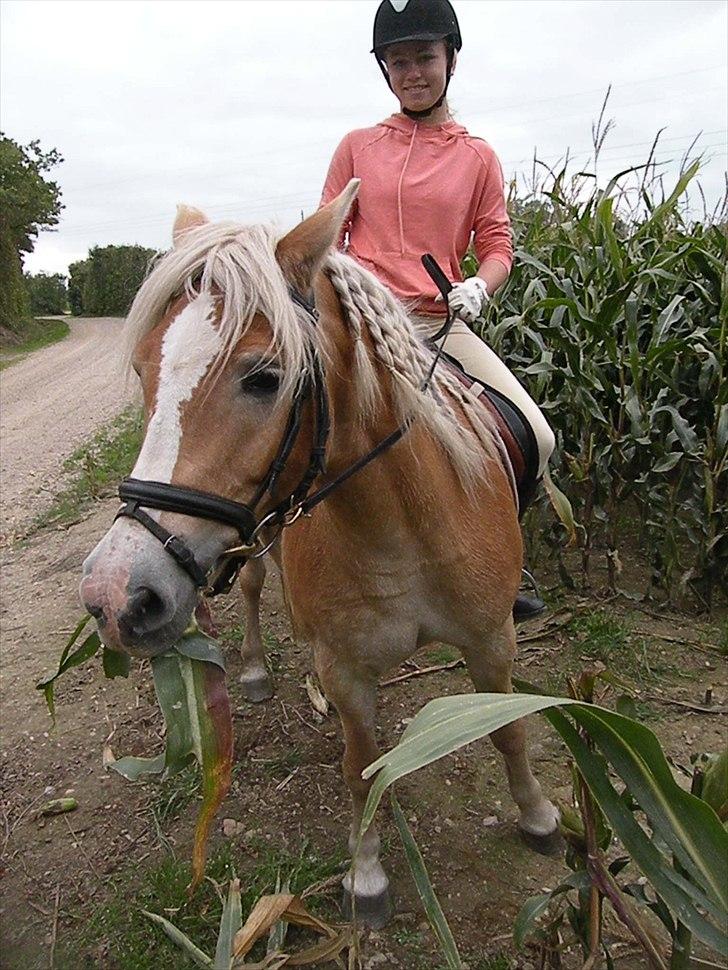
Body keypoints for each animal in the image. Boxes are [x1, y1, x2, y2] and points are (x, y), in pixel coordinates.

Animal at [79, 180, 556, 924]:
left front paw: (538, 817)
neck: (401, 529)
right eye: (144, 369)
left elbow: (506, 728)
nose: (116, 594)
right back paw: (251, 671)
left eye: (264, 377)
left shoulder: (491, 639)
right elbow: (361, 769)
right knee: (250, 589)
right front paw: (367, 875)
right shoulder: (347, 670)